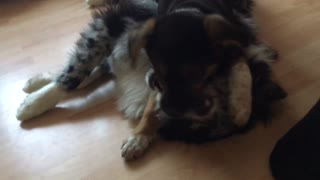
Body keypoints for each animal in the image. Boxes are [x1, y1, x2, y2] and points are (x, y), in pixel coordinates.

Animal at [16, 0, 288, 160]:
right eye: (163, 77)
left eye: (194, 127)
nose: (170, 107)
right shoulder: (114, 23)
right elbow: (74, 73)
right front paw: (34, 103)